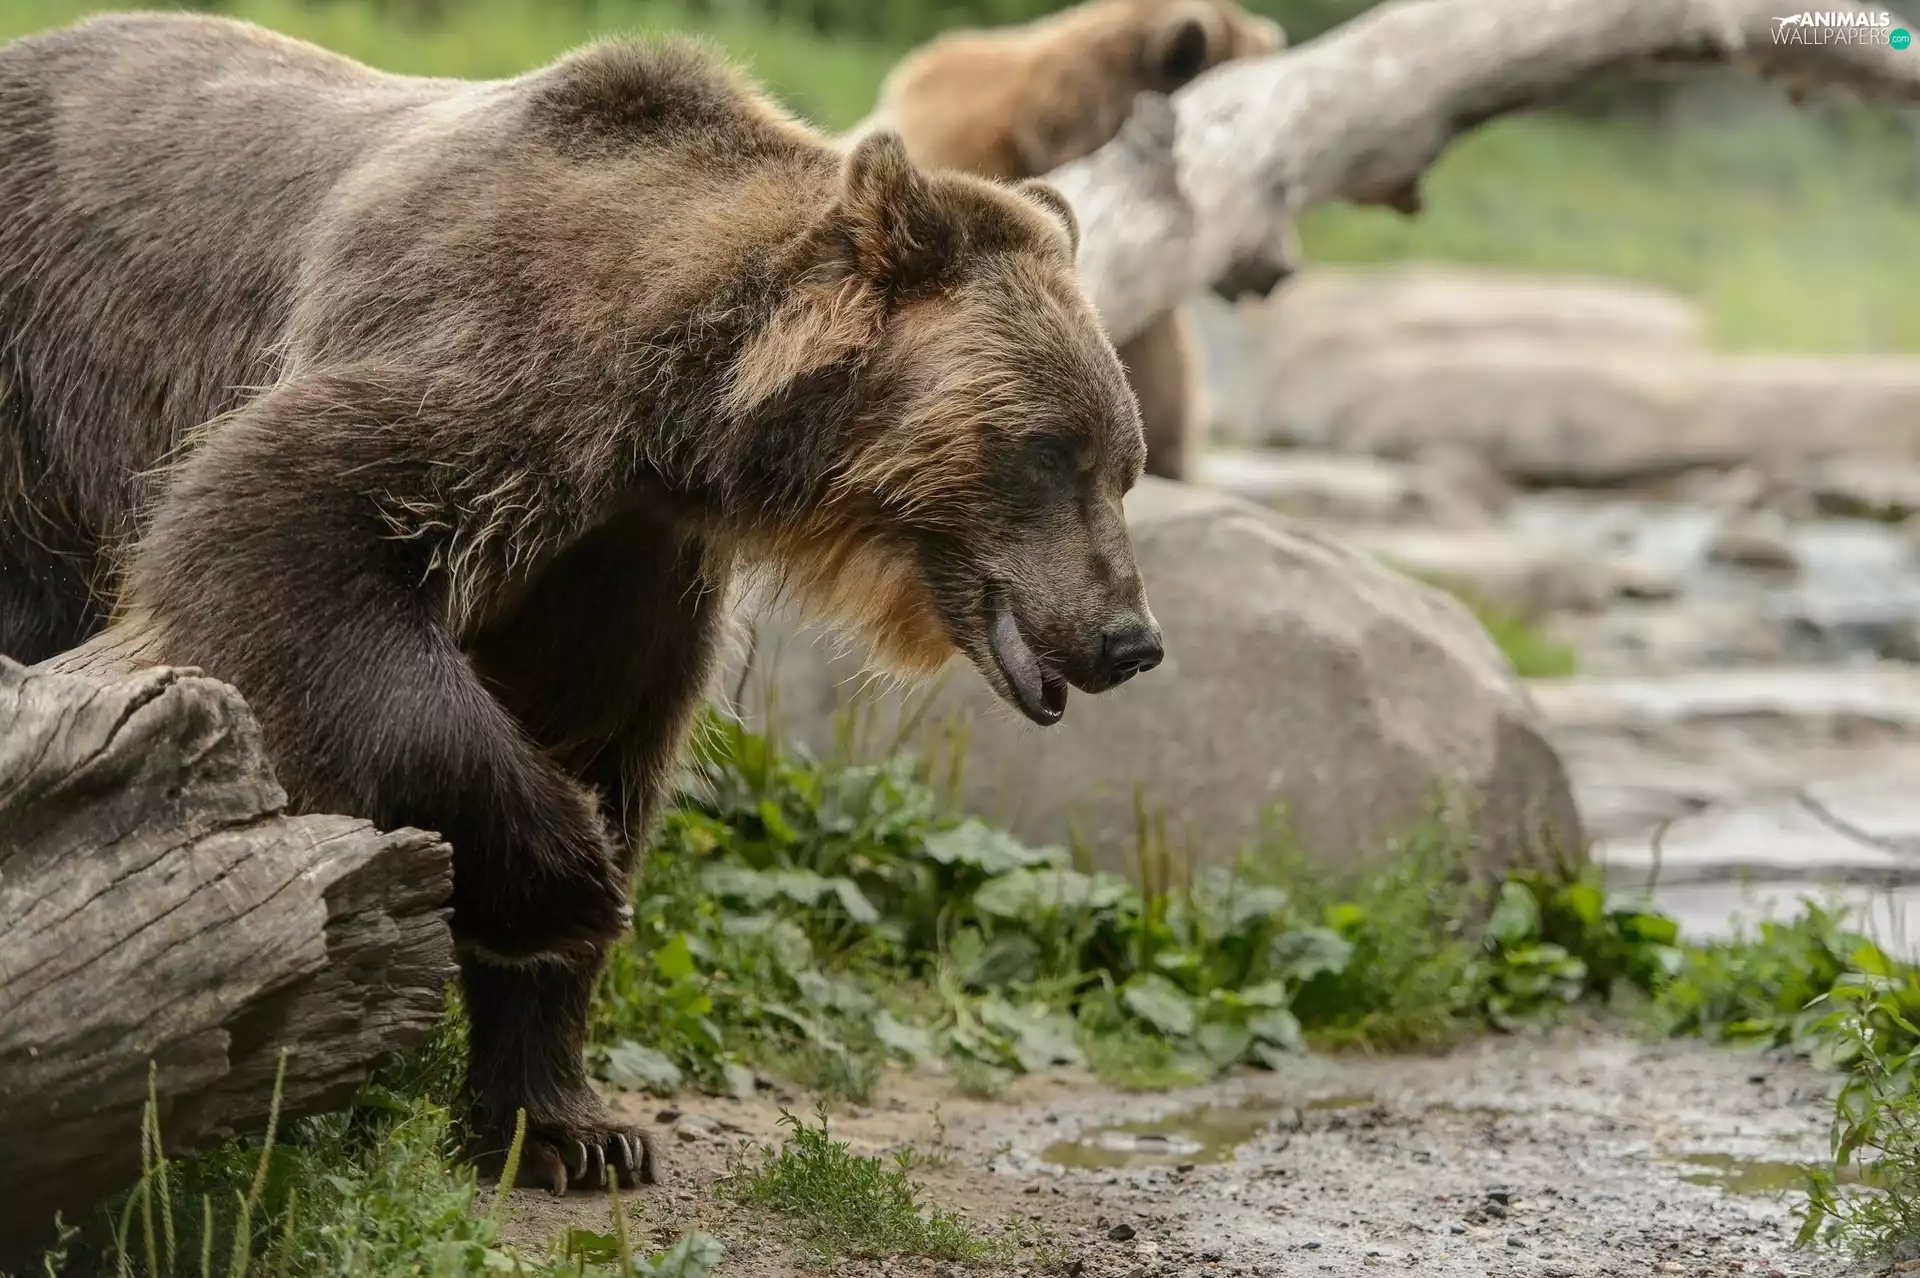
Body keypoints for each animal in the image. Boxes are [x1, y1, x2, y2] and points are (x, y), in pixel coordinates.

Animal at [0, 12, 1164, 1195]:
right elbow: (277, 535)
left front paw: (566, 1125)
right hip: (33, 406)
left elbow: (601, 732)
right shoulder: (482, 369)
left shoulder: (615, 561)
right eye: (1051, 450)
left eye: (1124, 464)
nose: (1130, 636)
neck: (671, 413)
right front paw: (571, 880)